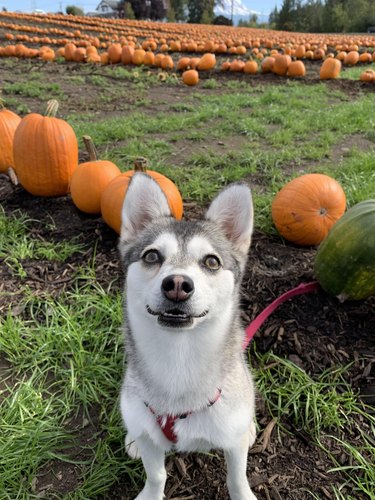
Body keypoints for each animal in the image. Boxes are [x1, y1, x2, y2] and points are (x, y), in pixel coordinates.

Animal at [119, 173, 258, 500]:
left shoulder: (232, 441)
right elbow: (156, 474)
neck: (179, 358)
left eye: (211, 261)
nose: (178, 285)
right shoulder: (150, 435)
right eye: (152, 256)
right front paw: (150, 494)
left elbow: (237, 478)